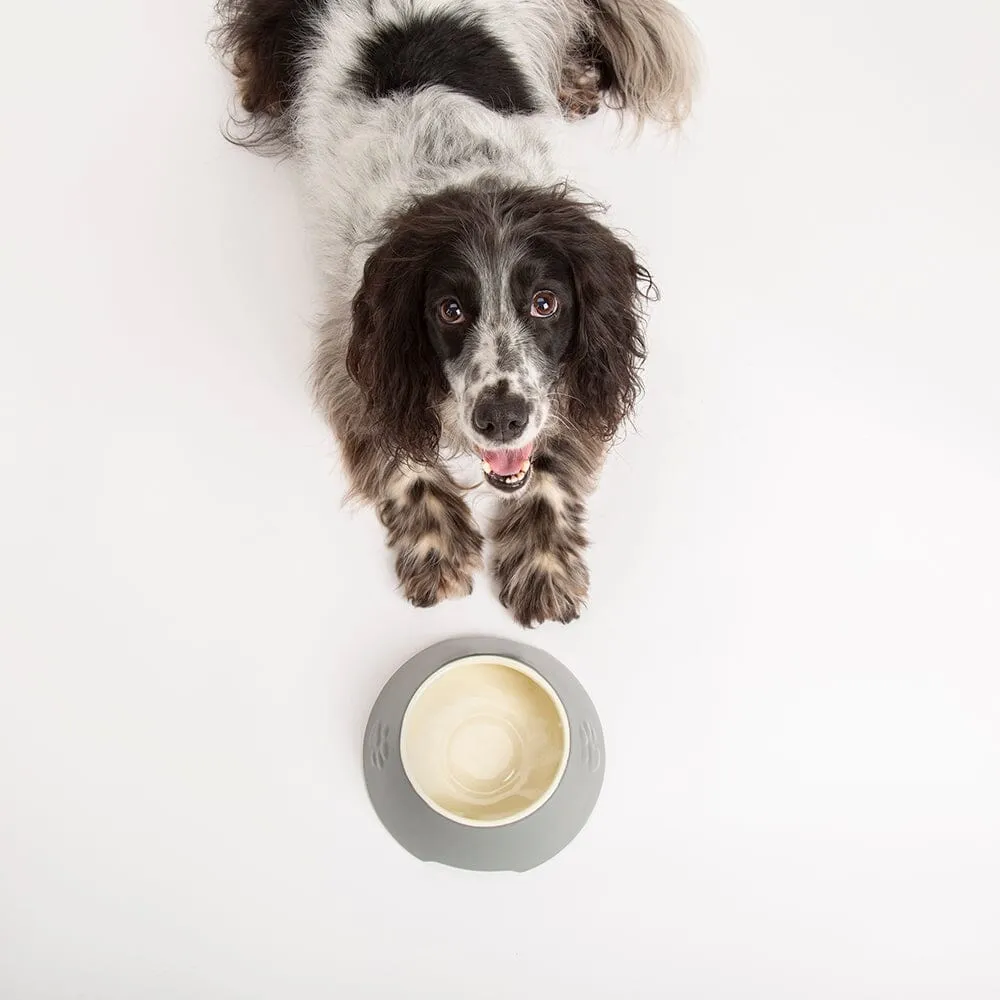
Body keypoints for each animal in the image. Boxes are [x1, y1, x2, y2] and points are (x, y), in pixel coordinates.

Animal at [215, 0, 700, 624]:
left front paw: (543, 562)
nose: (501, 419)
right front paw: (438, 548)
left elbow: (552, 459)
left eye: (545, 303)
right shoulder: (357, 345)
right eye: (450, 310)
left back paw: (576, 80)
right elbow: (405, 460)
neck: (461, 166)